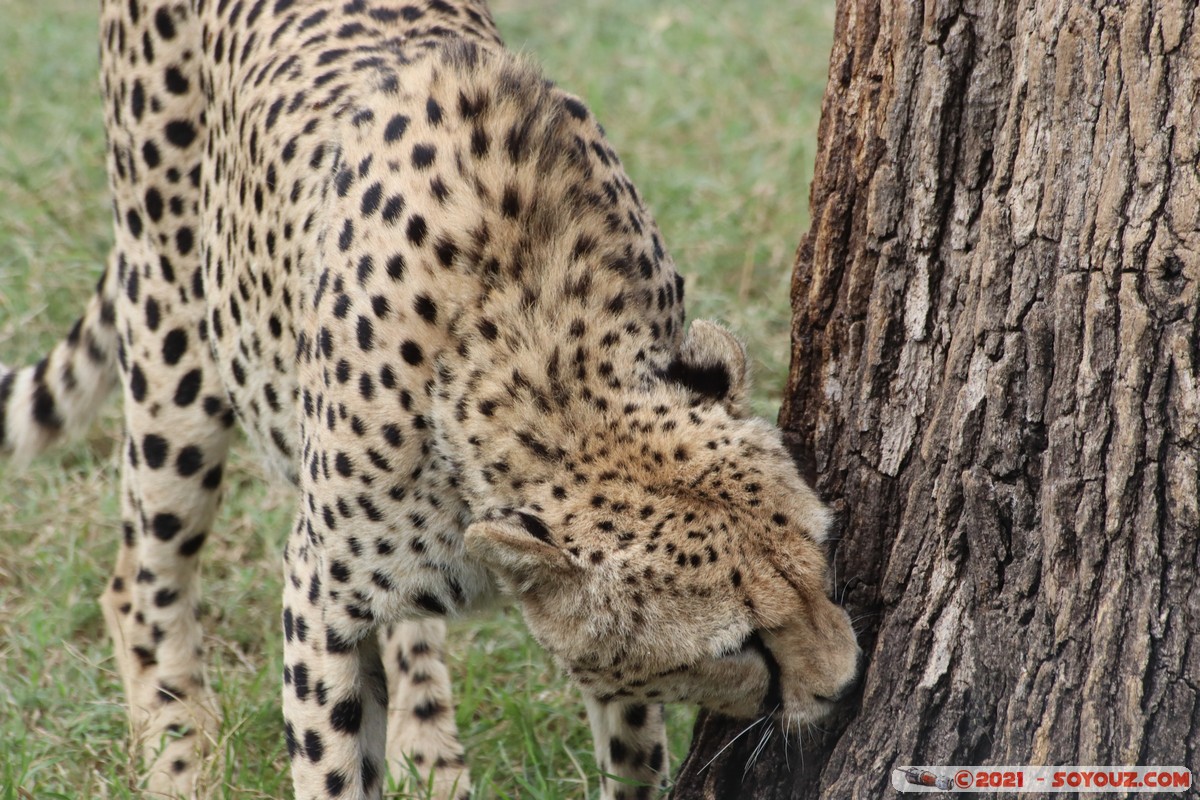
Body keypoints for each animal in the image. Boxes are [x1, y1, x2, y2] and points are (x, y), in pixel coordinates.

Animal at [2, 1, 864, 800]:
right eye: (738, 645)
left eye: (821, 561)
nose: (846, 685)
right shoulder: (316, 590)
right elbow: (333, 760)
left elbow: (629, 742)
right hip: (171, 334)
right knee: (139, 582)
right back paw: (178, 753)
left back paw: (428, 748)